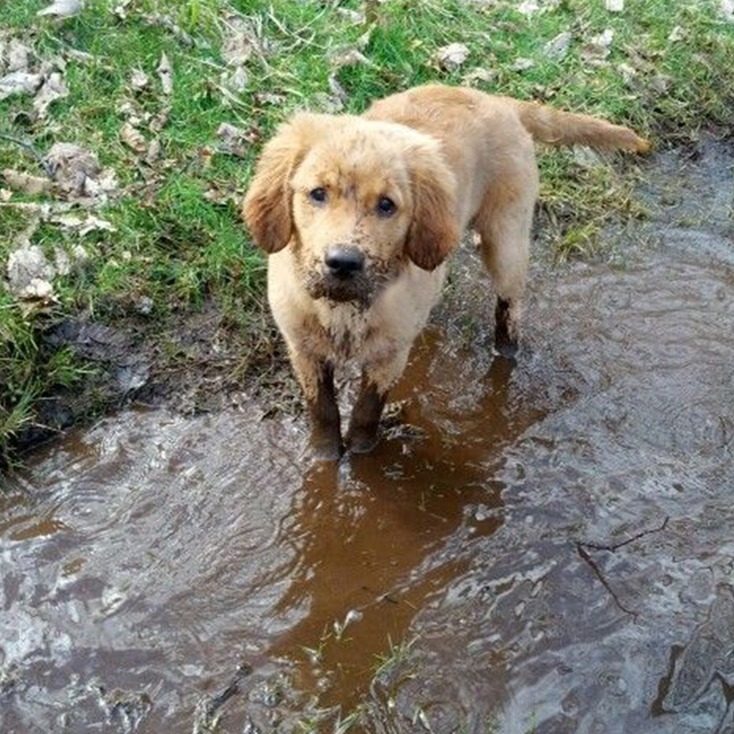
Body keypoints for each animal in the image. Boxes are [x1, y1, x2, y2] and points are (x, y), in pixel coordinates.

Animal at [243, 85, 648, 460]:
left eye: (387, 205)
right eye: (317, 193)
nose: (343, 261)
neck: (344, 308)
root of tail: (498, 100)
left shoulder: (388, 357)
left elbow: (364, 415)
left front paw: (360, 459)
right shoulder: (303, 350)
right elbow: (323, 411)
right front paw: (324, 458)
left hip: (507, 241)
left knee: (509, 310)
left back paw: (506, 353)